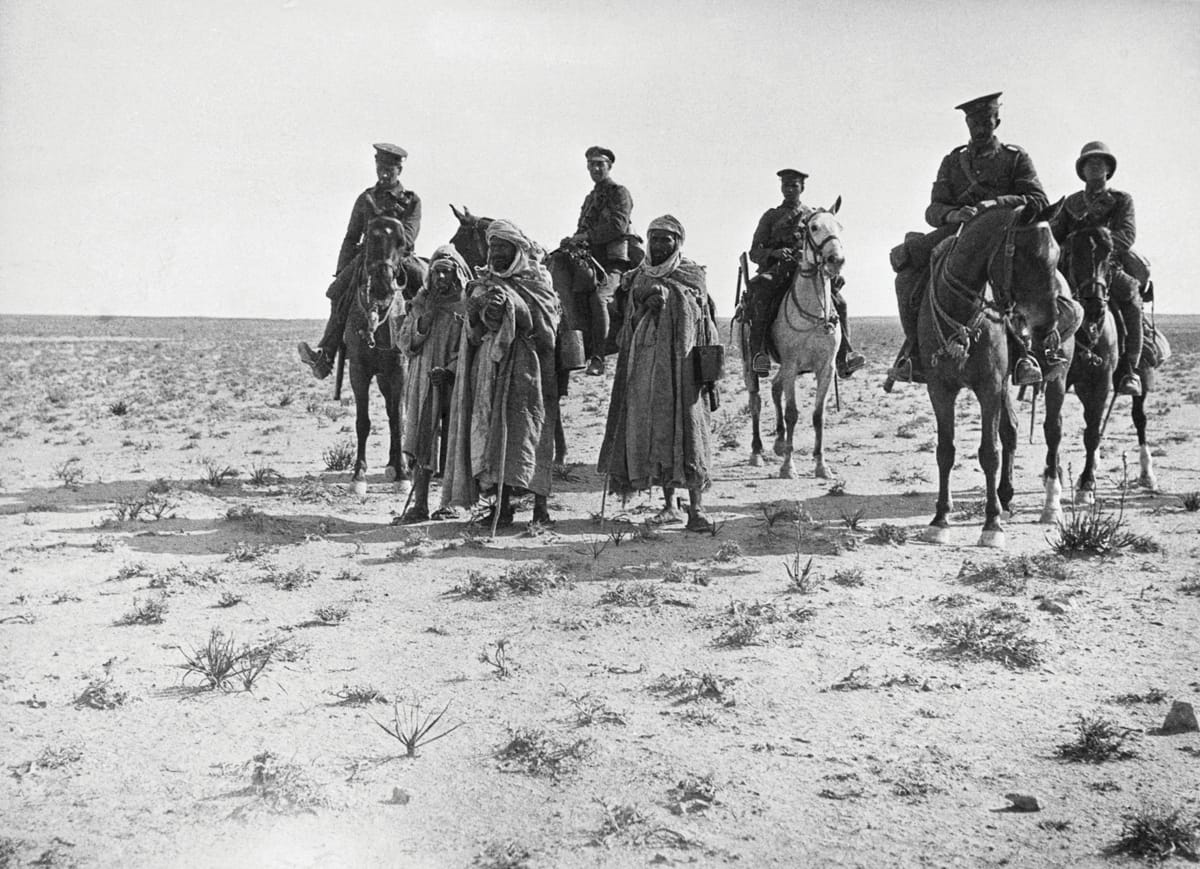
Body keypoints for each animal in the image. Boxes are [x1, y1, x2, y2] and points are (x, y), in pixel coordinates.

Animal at [340, 198, 424, 494]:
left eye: (401, 241)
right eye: (370, 237)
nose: (381, 285)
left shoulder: (399, 369)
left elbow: (399, 420)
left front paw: (403, 475)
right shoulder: (359, 369)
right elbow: (363, 422)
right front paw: (358, 476)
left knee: (396, 413)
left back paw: (401, 465)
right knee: (389, 410)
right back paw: (391, 464)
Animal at [734, 198, 849, 477]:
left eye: (839, 226)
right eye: (814, 227)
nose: (836, 260)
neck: (813, 312)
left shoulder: (825, 368)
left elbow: (818, 415)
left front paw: (821, 465)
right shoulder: (791, 364)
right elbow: (792, 414)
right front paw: (788, 466)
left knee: (775, 389)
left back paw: (778, 442)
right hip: (750, 364)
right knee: (756, 401)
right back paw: (757, 452)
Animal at [916, 200, 1070, 547]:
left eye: (1057, 256)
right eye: (1030, 256)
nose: (1048, 329)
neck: (961, 312)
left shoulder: (988, 386)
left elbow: (989, 452)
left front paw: (991, 525)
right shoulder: (940, 388)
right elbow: (945, 451)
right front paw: (940, 520)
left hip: (1055, 378)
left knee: (1052, 431)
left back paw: (1050, 506)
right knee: (1011, 429)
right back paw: (1006, 496)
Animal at [1065, 226, 1156, 501]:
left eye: (1109, 256)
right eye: (1074, 253)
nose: (1095, 305)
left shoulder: (1100, 380)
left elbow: (1092, 432)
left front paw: (1087, 484)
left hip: (1140, 376)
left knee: (1139, 418)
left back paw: (1147, 475)